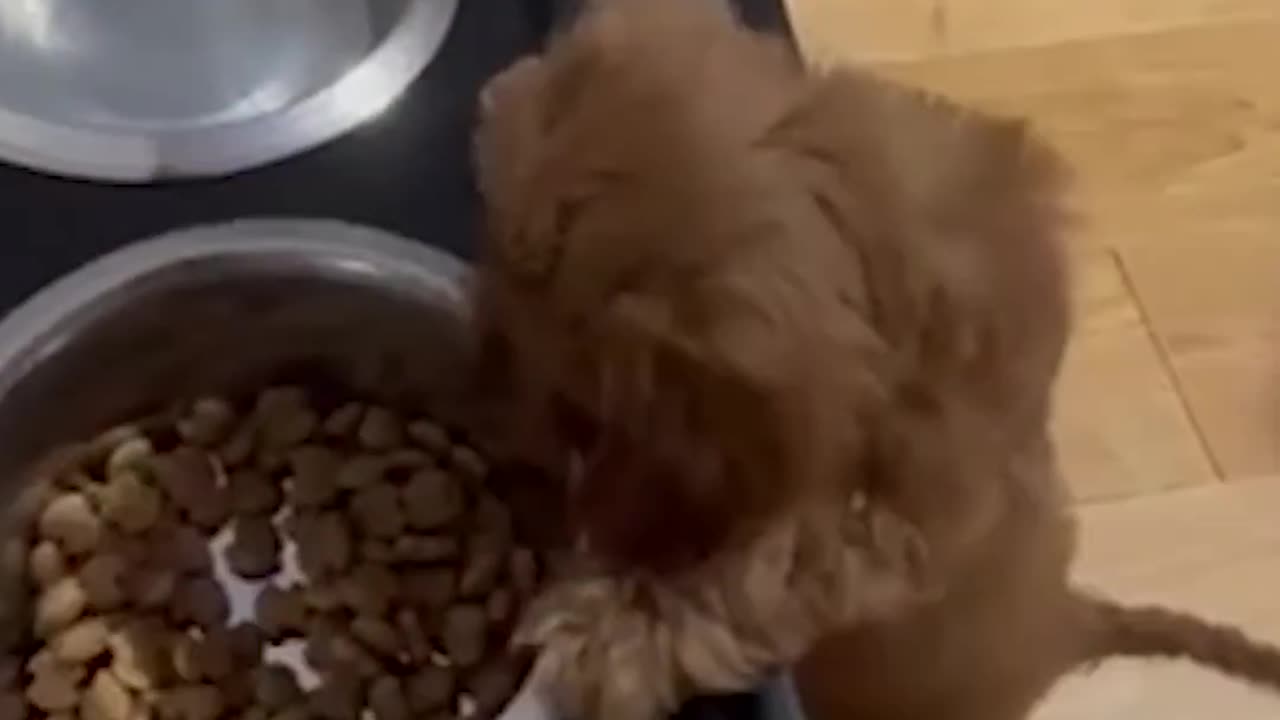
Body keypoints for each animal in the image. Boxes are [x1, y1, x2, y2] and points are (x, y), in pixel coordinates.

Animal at [473, 1, 1280, 717]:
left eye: (578, 411)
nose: (508, 446)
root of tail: (1073, 620)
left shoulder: (869, 531)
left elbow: (743, 587)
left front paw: (598, 632)